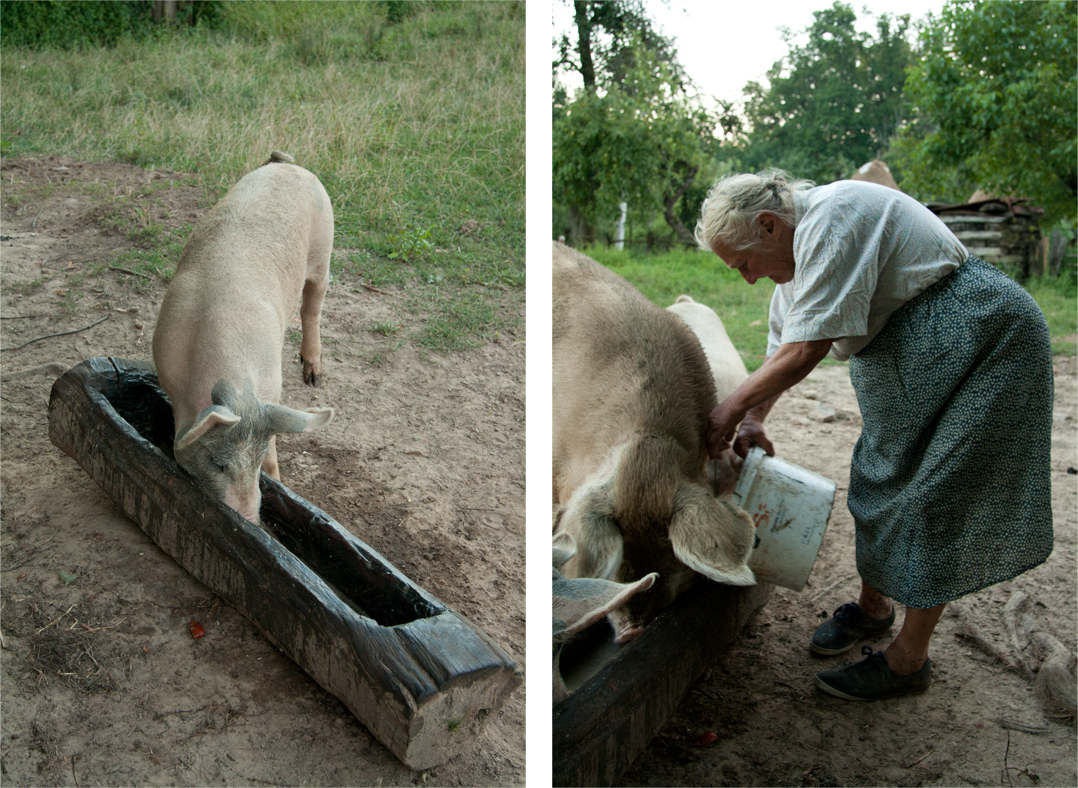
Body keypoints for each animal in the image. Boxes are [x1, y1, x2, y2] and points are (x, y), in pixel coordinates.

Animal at [151, 153, 334, 523]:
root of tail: (289, 164)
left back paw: (312, 378)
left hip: (324, 249)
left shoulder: (272, 388)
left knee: (312, 308)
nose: (250, 519)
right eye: (218, 464)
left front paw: (280, 481)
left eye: (257, 463)